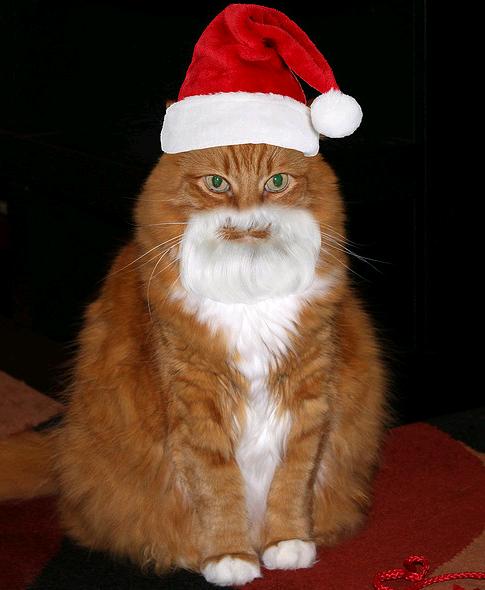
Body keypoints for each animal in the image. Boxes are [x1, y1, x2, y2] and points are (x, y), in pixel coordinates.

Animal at [0, 142, 386, 588]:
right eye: (217, 183)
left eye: (277, 182)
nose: (249, 213)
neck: (248, 293)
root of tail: (60, 445)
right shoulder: (197, 410)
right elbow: (217, 490)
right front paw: (230, 556)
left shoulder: (308, 401)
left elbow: (292, 480)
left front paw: (287, 543)